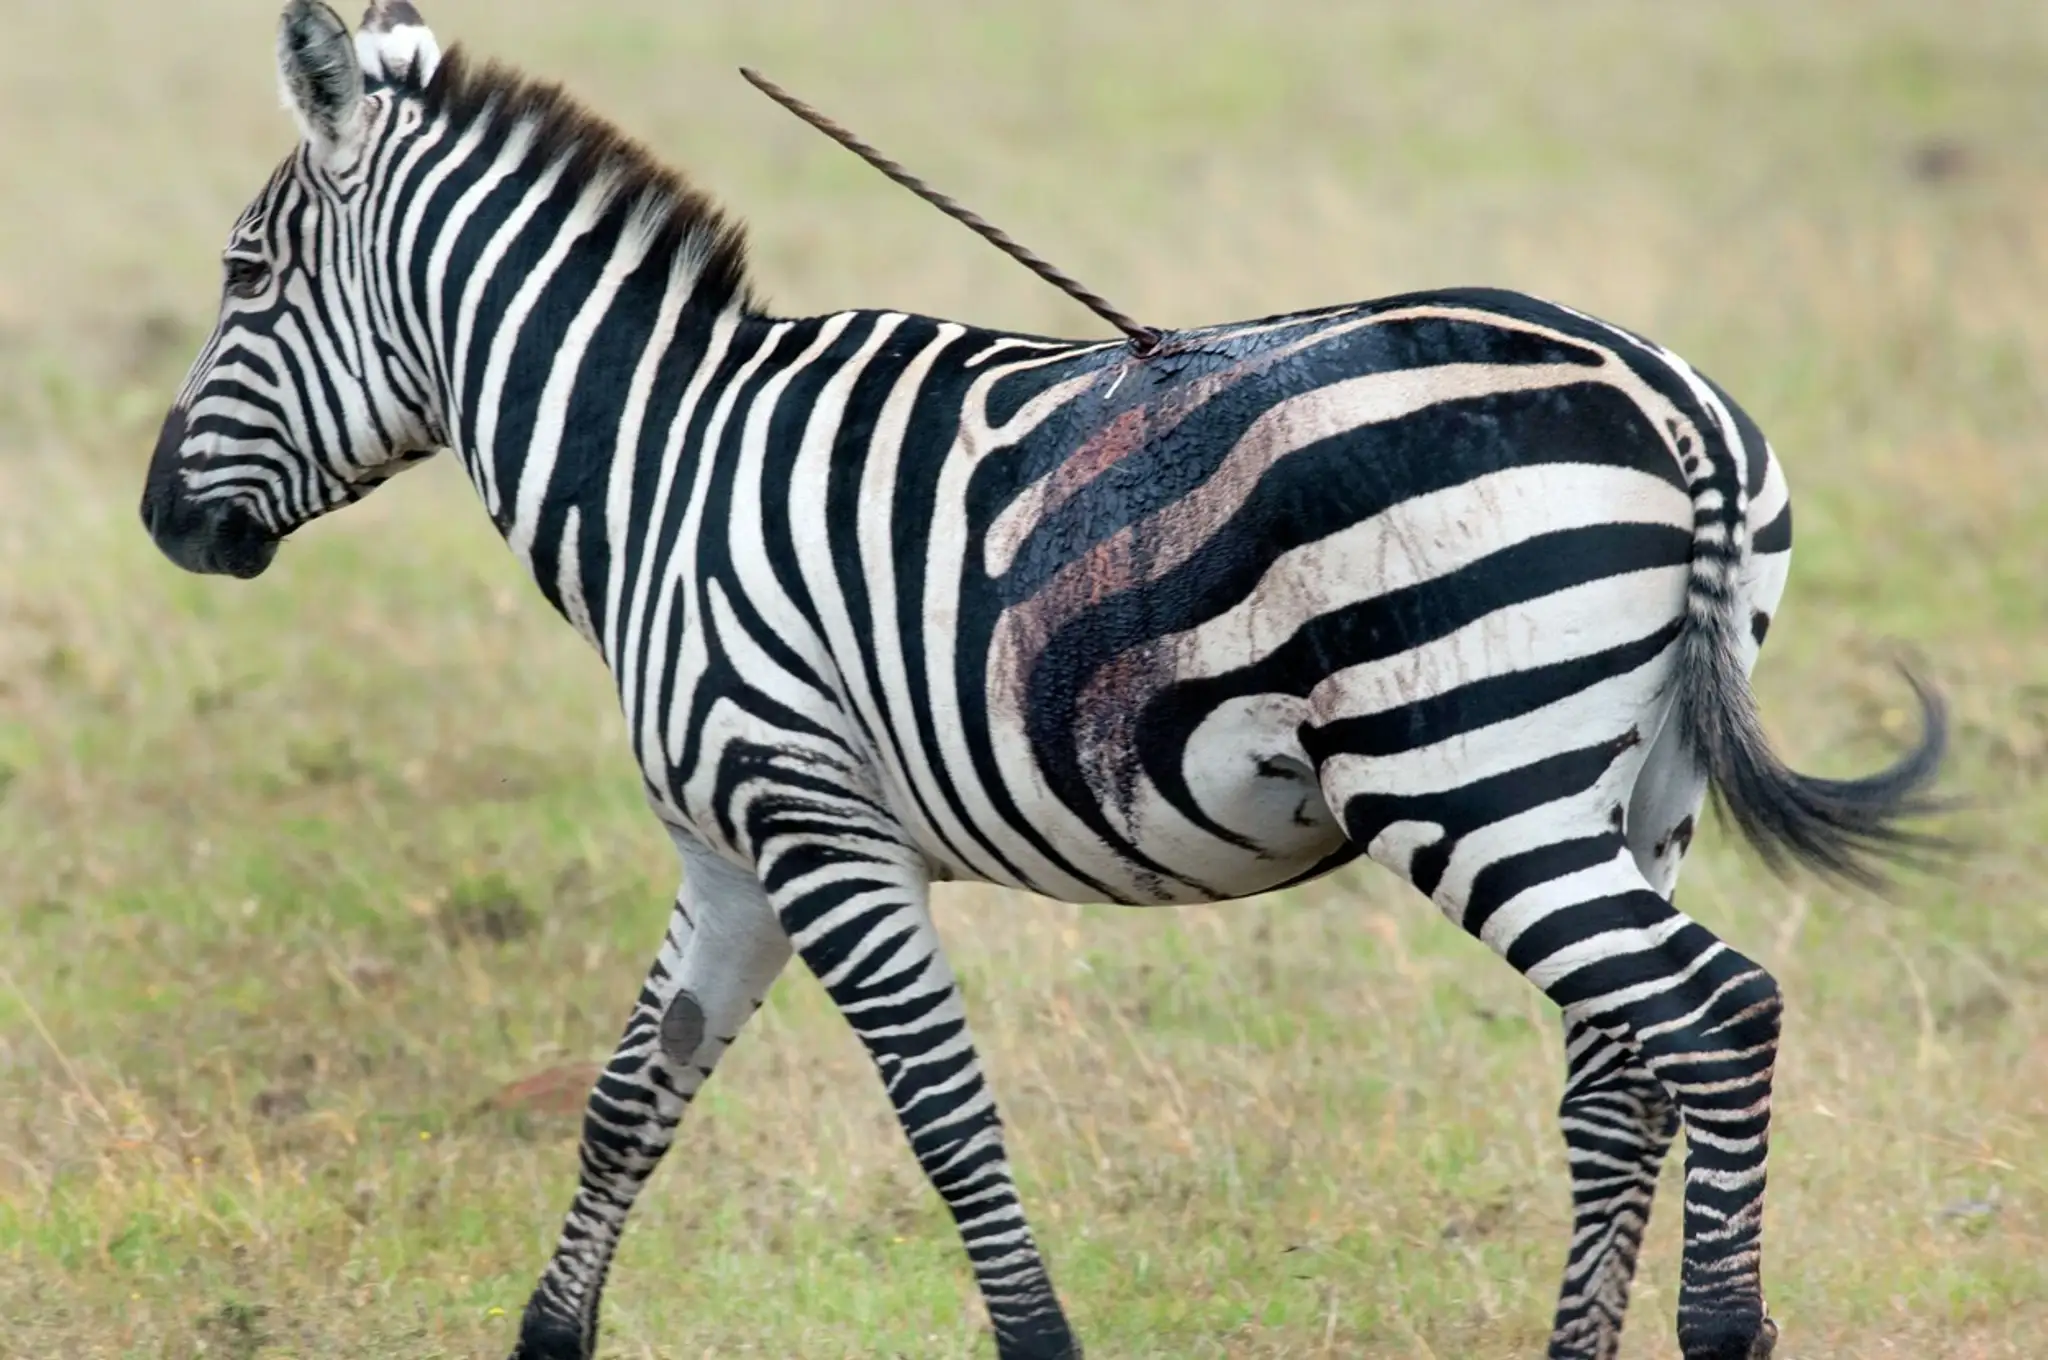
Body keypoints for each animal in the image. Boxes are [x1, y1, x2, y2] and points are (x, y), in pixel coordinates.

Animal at [139, 4, 1946, 1359]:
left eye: (239, 275)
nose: (161, 521)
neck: (657, 457)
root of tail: (1663, 398)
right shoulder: (729, 855)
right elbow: (628, 1100)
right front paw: (547, 1336)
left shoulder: (815, 826)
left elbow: (942, 1111)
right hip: (1629, 792)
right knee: (1618, 1071)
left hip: (1463, 776)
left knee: (1712, 1018)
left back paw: (1722, 1327)